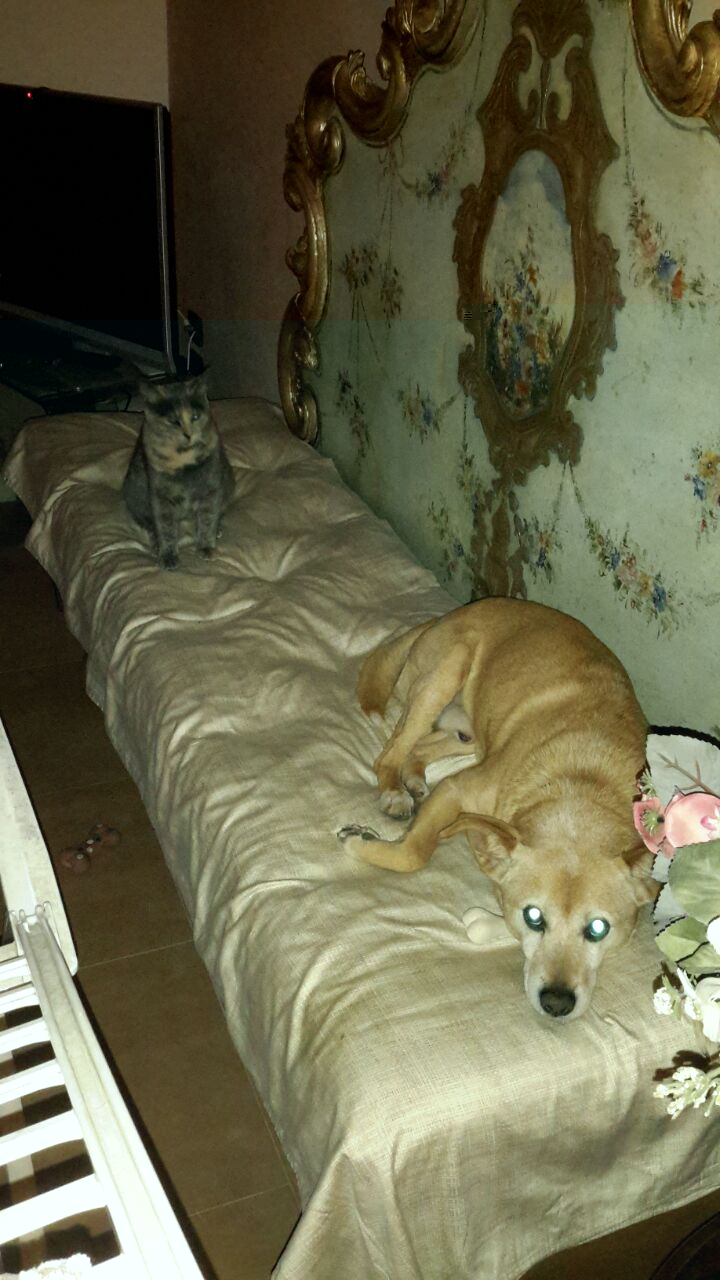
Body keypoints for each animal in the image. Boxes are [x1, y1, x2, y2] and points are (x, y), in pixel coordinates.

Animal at [122, 373, 234, 570]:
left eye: (195, 416)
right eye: (174, 421)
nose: (188, 434)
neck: (184, 460)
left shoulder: (211, 487)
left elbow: (208, 517)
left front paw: (206, 547)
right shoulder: (160, 494)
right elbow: (165, 526)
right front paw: (167, 555)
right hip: (135, 491)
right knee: (148, 522)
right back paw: (155, 544)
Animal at [339, 599, 655, 1020]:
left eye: (599, 929)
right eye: (534, 917)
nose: (557, 1004)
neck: (584, 783)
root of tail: (447, 617)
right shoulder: (456, 789)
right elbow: (415, 852)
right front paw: (361, 842)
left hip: (468, 735)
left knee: (420, 748)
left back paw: (414, 778)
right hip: (445, 676)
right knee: (390, 752)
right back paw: (394, 791)